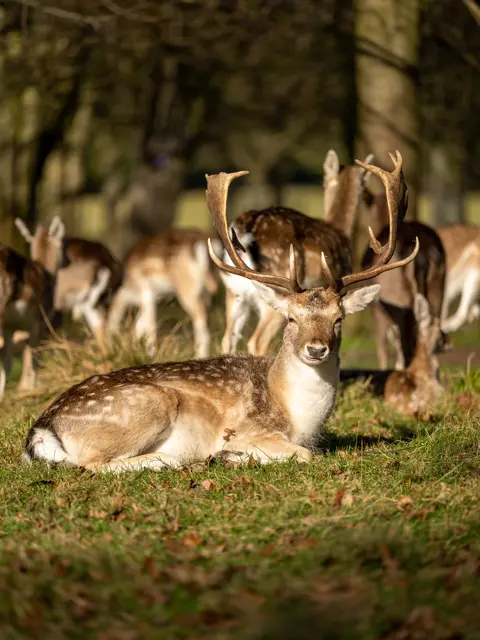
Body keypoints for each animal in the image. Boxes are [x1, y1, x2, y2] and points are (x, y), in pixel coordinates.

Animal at [107, 229, 220, 358]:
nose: (108, 352)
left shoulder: (146, 294)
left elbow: (149, 328)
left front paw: (150, 356)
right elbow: (139, 327)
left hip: (187, 291)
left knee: (202, 329)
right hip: (205, 293)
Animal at [220, 151, 371, 356]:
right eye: (364, 182)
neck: (340, 229)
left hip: (233, 293)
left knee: (227, 339)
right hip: (276, 291)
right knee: (257, 342)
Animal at [361, 167, 447, 370]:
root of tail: (425, 252)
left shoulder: (376, 308)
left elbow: (383, 349)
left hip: (396, 297)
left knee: (405, 346)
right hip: (438, 288)